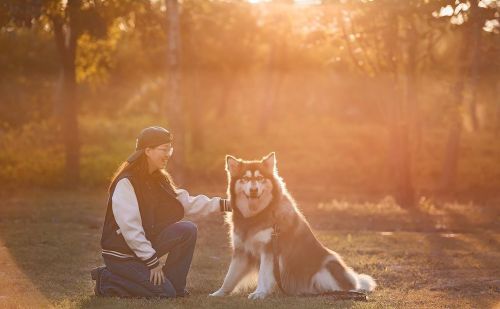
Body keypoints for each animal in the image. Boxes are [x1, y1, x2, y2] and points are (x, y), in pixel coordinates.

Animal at [209, 152, 376, 298]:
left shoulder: (269, 250)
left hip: (324, 270)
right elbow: (229, 277)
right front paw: (219, 293)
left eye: (260, 178)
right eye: (245, 178)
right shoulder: (241, 251)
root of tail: (353, 282)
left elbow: (263, 275)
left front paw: (260, 293)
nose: (254, 190)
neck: (256, 215)